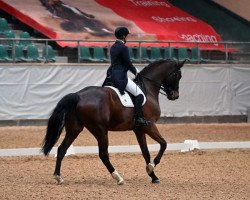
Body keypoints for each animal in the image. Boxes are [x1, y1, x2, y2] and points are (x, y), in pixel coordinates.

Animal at [41, 59, 186, 184]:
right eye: (177, 75)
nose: (175, 96)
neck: (148, 90)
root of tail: (78, 95)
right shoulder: (149, 125)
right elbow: (164, 144)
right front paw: (151, 167)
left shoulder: (139, 129)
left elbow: (146, 152)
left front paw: (153, 176)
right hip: (100, 130)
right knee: (103, 154)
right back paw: (118, 177)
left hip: (75, 128)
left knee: (62, 149)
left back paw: (58, 177)